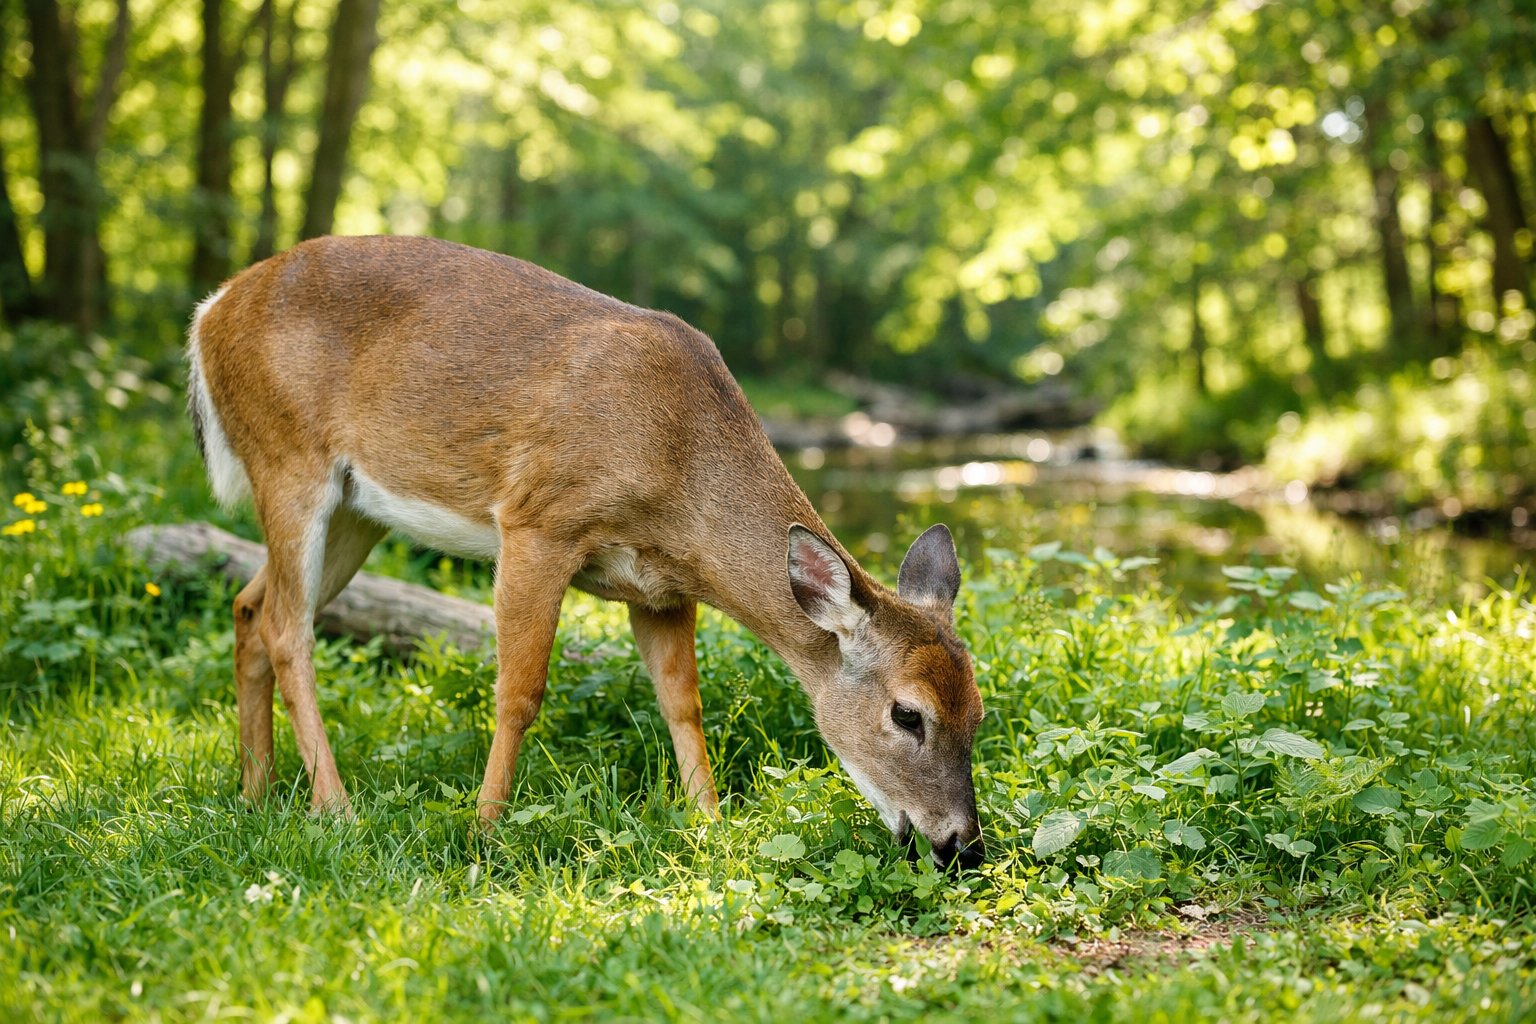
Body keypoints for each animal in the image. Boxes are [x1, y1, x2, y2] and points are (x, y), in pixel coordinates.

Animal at [186, 235, 986, 869]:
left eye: (979, 713)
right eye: (907, 714)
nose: (962, 846)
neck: (677, 465)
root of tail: (208, 312)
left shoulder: (661, 588)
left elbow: (683, 703)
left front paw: (712, 824)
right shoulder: (538, 520)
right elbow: (519, 692)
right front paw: (484, 831)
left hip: (358, 510)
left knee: (250, 604)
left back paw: (256, 792)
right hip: (288, 458)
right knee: (287, 627)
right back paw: (335, 807)